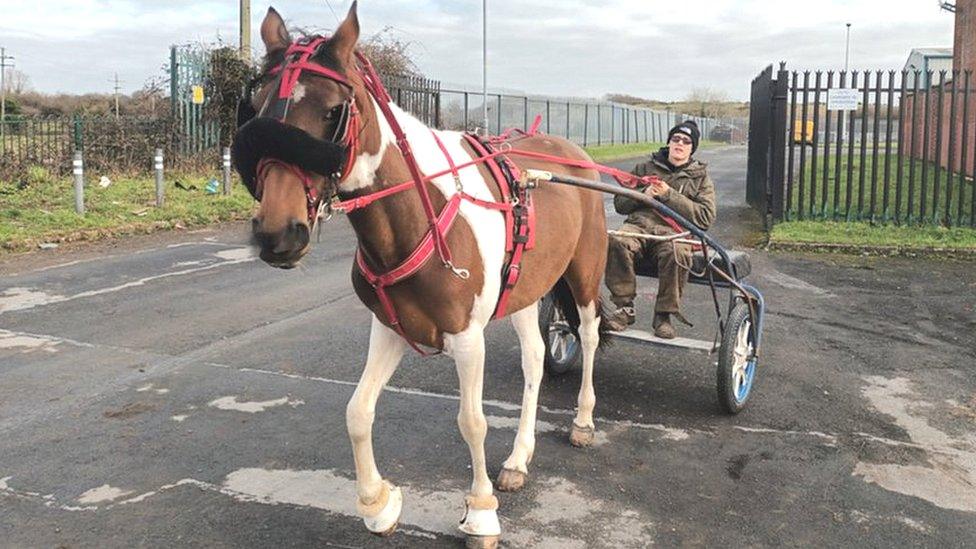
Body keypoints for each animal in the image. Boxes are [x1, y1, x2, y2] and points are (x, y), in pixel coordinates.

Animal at [233, 3, 608, 544]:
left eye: (332, 111)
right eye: (258, 107)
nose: (278, 233)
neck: (420, 211)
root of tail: (569, 152)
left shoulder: (467, 338)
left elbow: (472, 422)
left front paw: (480, 512)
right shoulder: (389, 327)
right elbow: (358, 411)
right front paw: (378, 503)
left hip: (583, 272)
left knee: (590, 334)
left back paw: (582, 419)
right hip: (523, 288)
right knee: (535, 359)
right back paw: (518, 457)